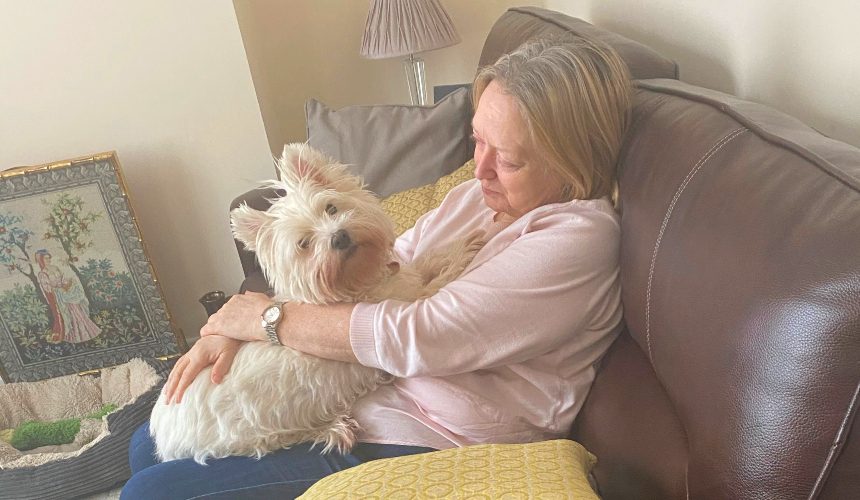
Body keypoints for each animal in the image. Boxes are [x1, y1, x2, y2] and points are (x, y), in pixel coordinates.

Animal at [149, 143, 484, 462]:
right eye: (304, 244)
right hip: (248, 433)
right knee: (279, 438)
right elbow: (437, 283)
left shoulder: (405, 279)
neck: (359, 281)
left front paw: (454, 246)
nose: (339, 237)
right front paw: (464, 251)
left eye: (331, 208)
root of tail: (161, 436)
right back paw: (334, 429)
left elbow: (425, 262)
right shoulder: (403, 308)